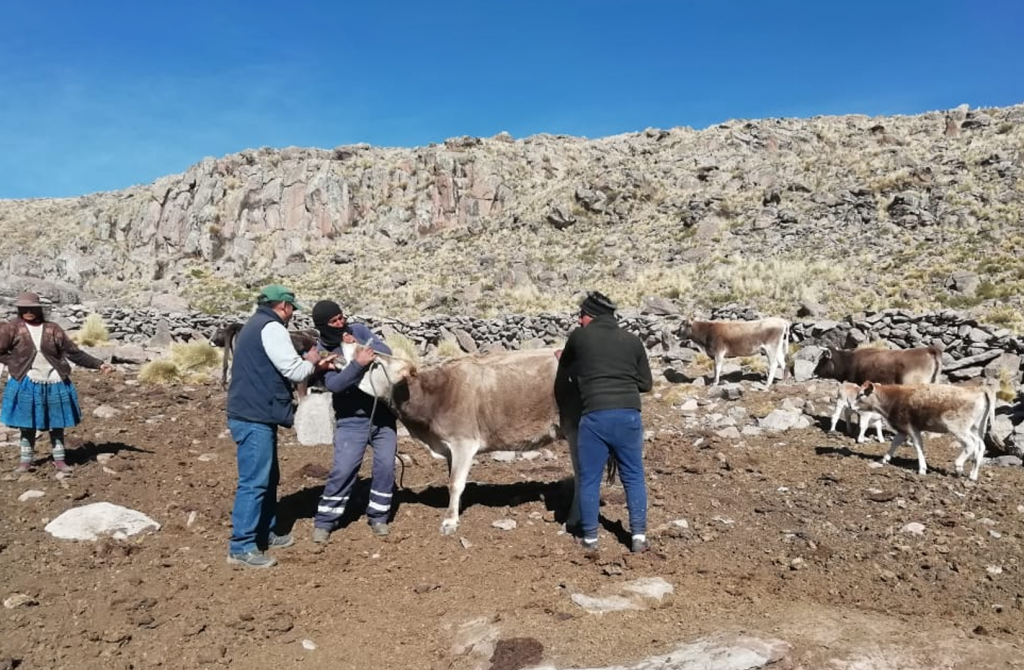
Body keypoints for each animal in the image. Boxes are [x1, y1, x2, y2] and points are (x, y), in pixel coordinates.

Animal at [346, 345, 582, 535]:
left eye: (376, 359)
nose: (345, 342)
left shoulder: (464, 442)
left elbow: (455, 483)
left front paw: (450, 522)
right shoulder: (449, 447)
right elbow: (453, 479)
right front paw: (457, 508)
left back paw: (572, 520)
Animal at [852, 381, 998, 481]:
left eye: (861, 395)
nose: (852, 407)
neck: (894, 399)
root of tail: (978, 389)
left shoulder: (911, 427)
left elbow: (918, 447)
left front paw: (922, 469)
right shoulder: (903, 429)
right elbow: (895, 443)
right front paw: (884, 459)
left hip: (958, 427)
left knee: (970, 444)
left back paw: (958, 466)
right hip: (975, 427)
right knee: (980, 445)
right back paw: (973, 475)